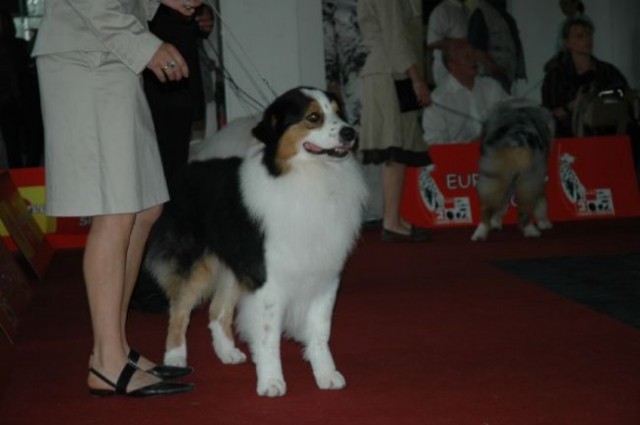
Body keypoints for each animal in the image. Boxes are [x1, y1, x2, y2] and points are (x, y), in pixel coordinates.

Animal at [143, 85, 368, 394]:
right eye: (313, 117)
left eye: (339, 112)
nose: (350, 132)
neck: (305, 177)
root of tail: (185, 172)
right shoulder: (268, 278)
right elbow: (268, 336)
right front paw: (271, 381)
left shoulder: (325, 275)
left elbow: (321, 330)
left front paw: (326, 374)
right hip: (197, 264)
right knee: (179, 309)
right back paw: (175, 358)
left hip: (234, 266)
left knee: (217, 312)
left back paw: (227, 353)